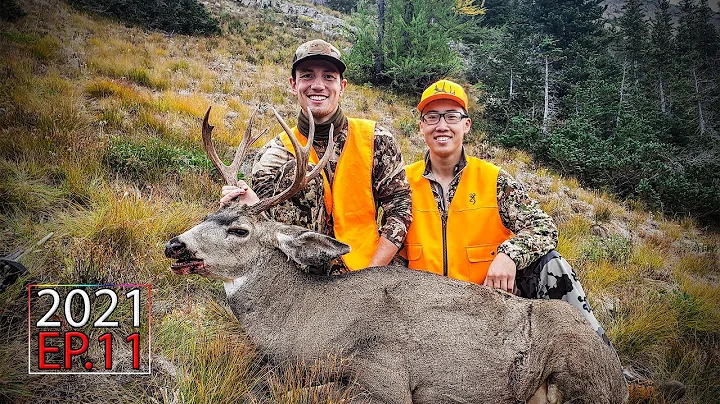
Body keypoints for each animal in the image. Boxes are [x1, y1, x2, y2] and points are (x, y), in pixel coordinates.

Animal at [164, 106, 628, 404]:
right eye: (208, 214)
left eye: (240, 230)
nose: (175, 245)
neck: (313, 325)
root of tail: (618, 375)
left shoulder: (386, 373)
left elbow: (296, 389)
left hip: (576, 373)